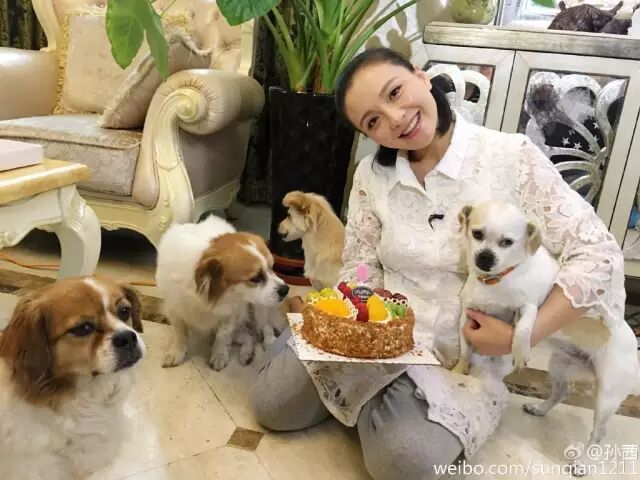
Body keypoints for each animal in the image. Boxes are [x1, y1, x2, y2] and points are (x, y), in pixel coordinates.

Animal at [157, 215, 289, 371]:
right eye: (256, 278)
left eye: (272, 267)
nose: (286, 289)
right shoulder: (174, 309)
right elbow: (180, 334)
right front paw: (177, 352)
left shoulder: (231, 312)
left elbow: (223, 336)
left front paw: (219, 355)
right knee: (249, 336)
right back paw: (247, 353)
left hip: (259, 308)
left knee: (266, 327)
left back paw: (269, 343)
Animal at [453, 200, 640, 475]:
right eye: (477, 234)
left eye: (507, 242)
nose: (485, 257)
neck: (496, 281)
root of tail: (633, 343)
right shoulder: (467, 317)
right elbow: (465, 350)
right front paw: (457, 370)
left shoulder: (528, 307)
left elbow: (523, 329)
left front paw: (520, 351)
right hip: (560, 365)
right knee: (560, 392)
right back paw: (539, 409)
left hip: (607, 397)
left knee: (599, 433)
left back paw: (583, 463)